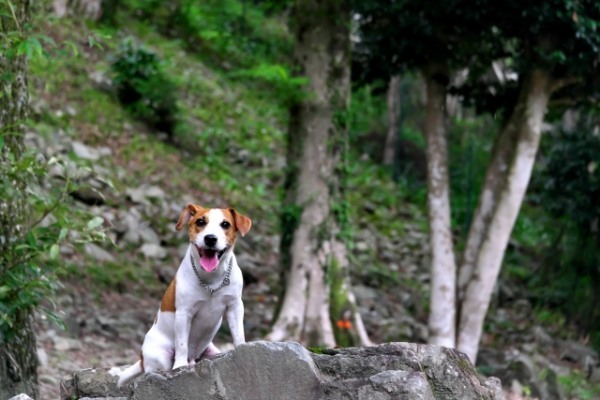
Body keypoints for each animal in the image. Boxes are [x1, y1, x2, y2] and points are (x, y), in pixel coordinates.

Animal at [117, 205, 251, 386]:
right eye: (200, 222)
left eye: (225, 224)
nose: (210, 238)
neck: (212, 280)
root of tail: (142, 359)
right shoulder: (184, 313)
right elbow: (181, 343)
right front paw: (180, 365)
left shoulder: (234, 306)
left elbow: (238, 333)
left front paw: (241, 349)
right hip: (161, 356)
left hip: (210, 349)